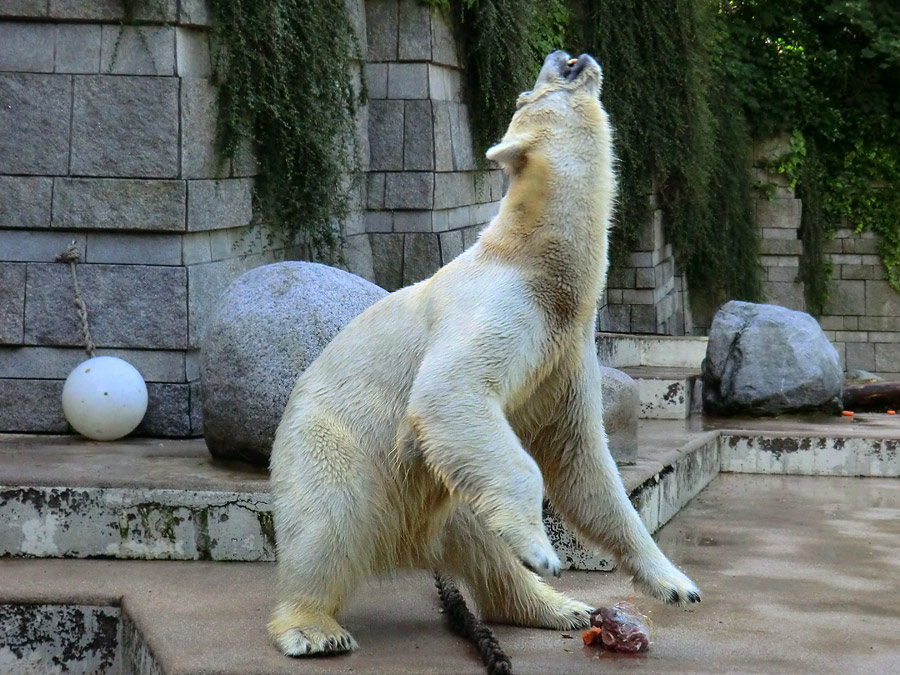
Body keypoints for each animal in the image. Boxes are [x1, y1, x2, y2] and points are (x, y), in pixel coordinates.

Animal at [268, 50, 704, 656]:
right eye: (528, 94)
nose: (559, 55)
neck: (537, 263)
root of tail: (401, 539)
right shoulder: (499, 304)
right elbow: (454, 391)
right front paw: (544, 549)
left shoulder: (566, 350)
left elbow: (581, 459)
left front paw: (677, 583)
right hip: (335, 445)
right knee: (327, 520)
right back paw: (313, 628)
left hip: (446, 493)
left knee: (481, 540)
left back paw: (557, 606)